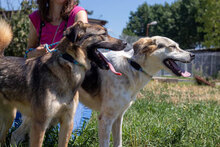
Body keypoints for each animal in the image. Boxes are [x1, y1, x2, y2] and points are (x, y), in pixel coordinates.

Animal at [0, 19, 125, 147]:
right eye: (104, 34)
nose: (125, 43)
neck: (70, 64)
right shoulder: (40, 123)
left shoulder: (67, 122)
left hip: (9, 116)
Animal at [11, 36, 194, 147]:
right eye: (173, 47)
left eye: (178, 46)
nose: (192, 55)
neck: (133, 67)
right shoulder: (105, 118)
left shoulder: (118, 117)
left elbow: (118, 142)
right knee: (15, 135)